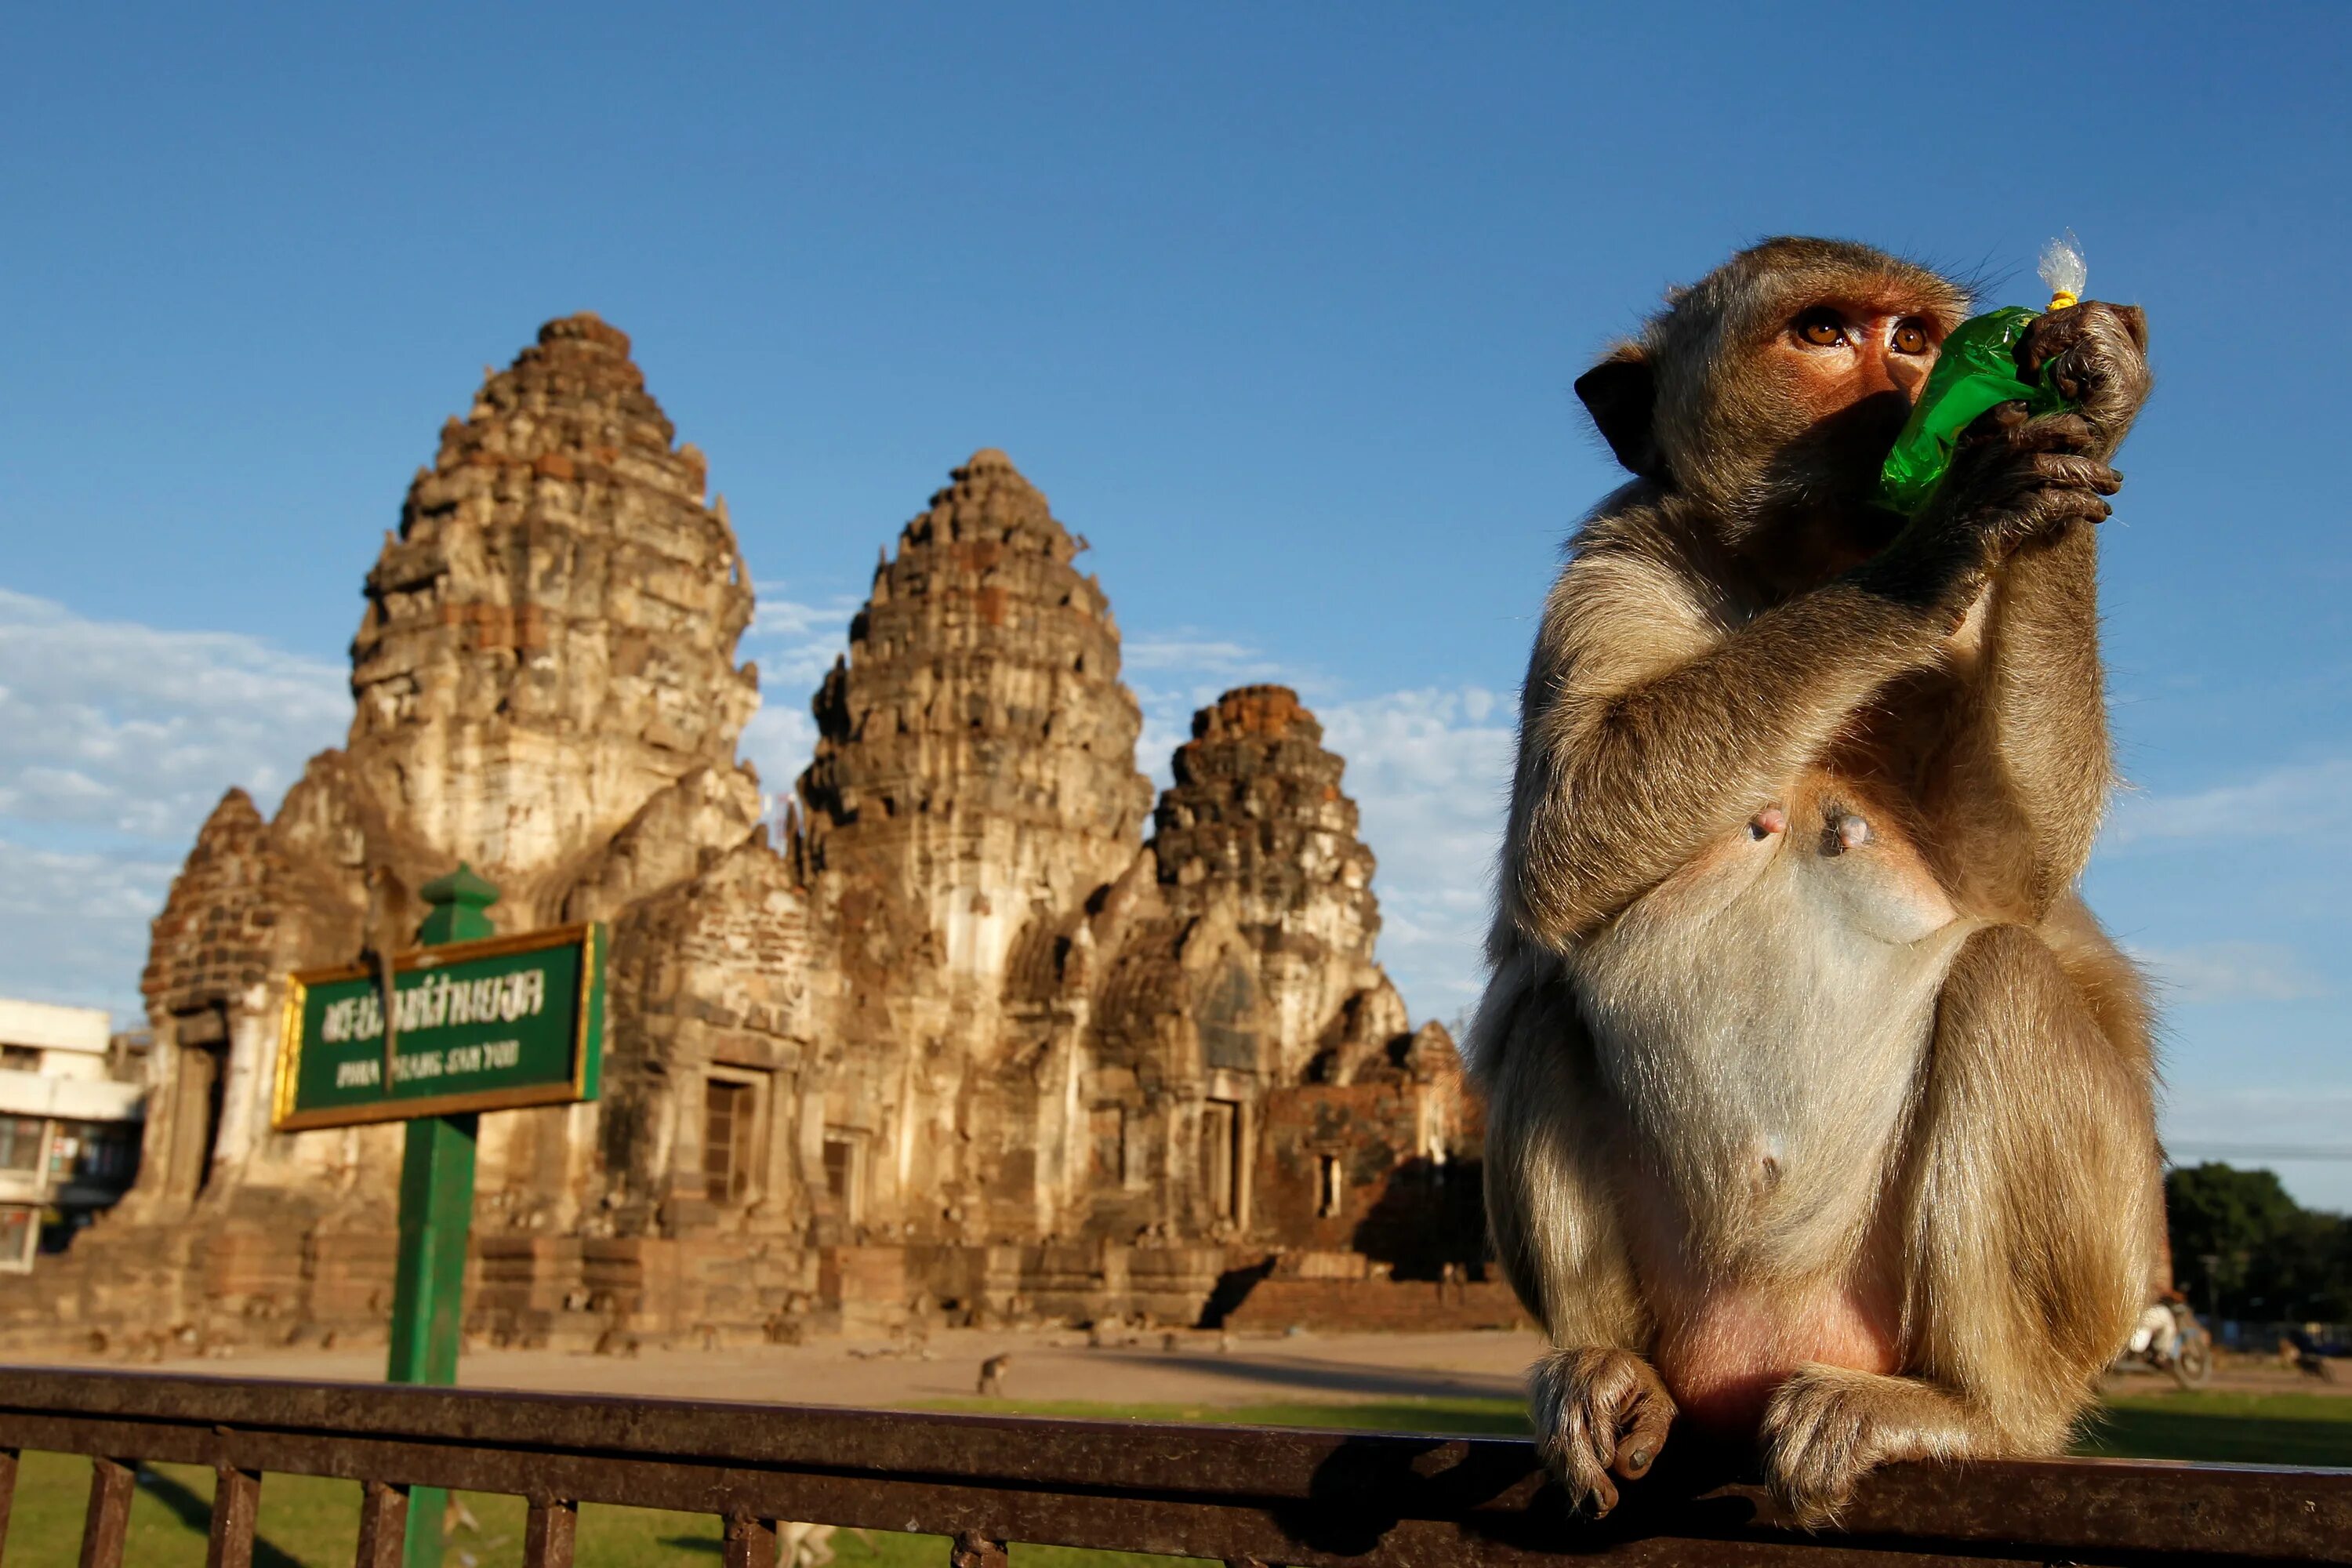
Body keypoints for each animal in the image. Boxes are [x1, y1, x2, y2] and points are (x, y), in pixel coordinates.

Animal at [1468, 239, 2164, 1523]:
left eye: (1912, 339)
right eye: (1827, 334)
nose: (1905, 390)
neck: (1790, 574)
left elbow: (2014, 869)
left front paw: (2087, 398)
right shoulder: (1614, 566)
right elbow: (1565, 838)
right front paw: (1932, 549)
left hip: (2061, 1304)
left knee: (2004, 974)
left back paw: (1964, 1410)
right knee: (1545, 1001)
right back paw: (1611, 1372)